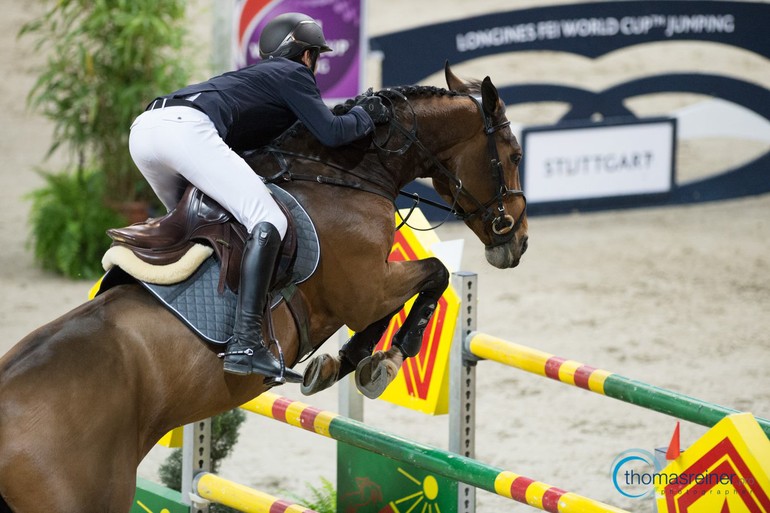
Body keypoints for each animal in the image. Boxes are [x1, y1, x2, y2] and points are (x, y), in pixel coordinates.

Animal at [0, 64, 524, 512]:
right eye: (515, 155)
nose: (516, 240)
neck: (344, 176)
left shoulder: (368, 290)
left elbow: (406, 298)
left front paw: (344, 363)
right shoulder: (367, 289)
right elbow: (433, 274)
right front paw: (385, 360)